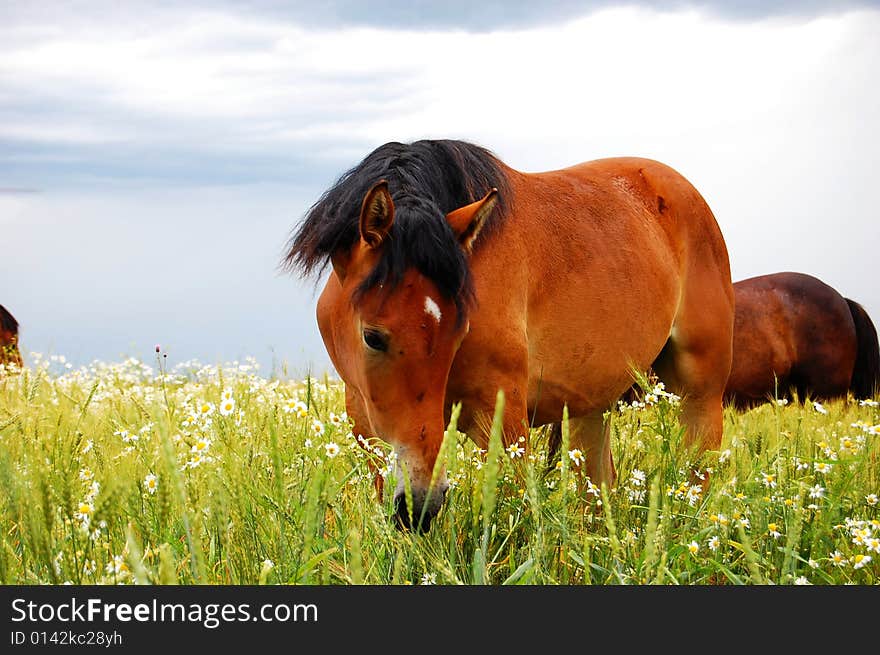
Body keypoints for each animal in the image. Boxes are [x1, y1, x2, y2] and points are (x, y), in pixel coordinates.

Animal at [286, 140, 732, 532]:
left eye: (460, 331)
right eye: (373, 337)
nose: (422, 502)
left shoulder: (502, 420)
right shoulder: (368, 427)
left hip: (700, 397)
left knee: (697, 477)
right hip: (592, 409)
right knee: (598, 486)